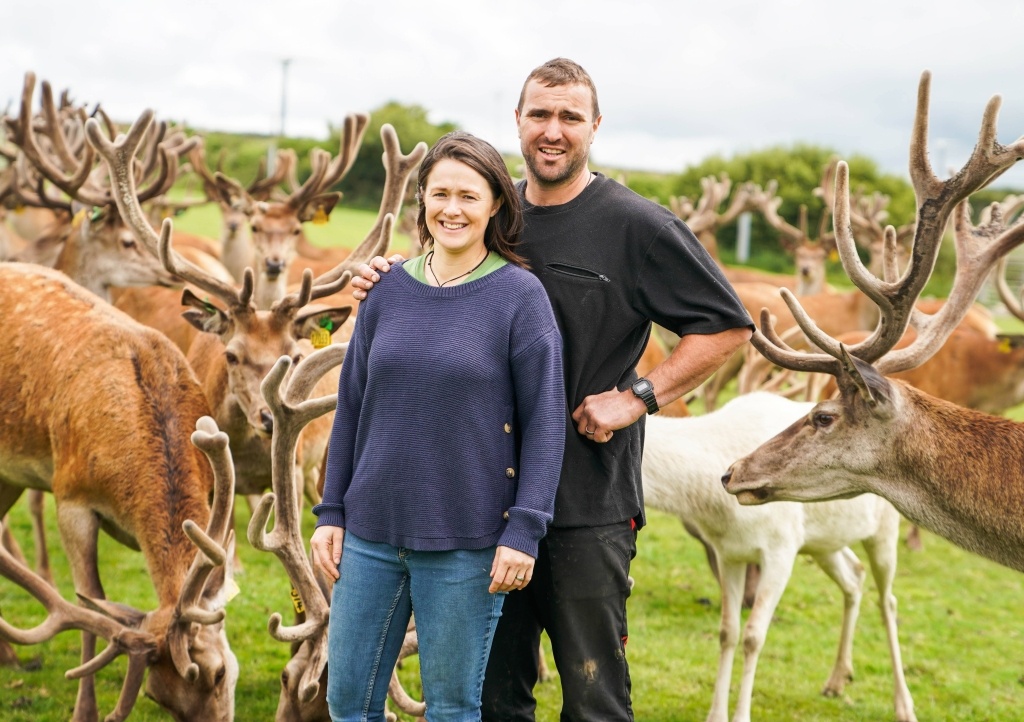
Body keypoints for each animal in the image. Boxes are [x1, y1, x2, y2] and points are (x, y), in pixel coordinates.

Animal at [0, 264, 238, 720]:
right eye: (158, 696)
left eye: (220, 673)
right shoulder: (71, 496)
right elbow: (90, 599)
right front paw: (84, 711)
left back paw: (10, 655)